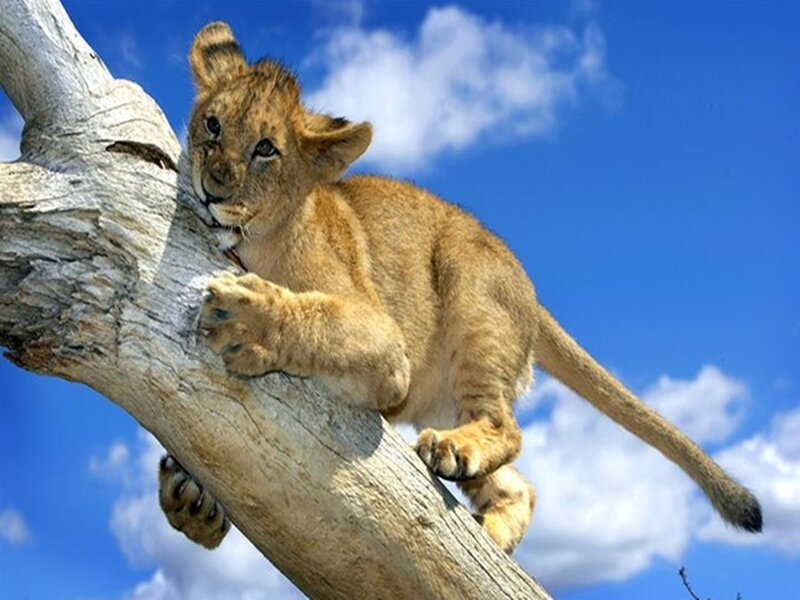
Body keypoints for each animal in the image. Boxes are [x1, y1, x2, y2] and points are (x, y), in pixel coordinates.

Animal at [158, 22, 761, 555]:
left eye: (266, 149)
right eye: (212, 125)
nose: (212, 189)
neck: (251, 243)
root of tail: (533, 295)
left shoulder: (387, 350)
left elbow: (316, 318)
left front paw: (244, 320)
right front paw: (191, 497)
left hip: (472, 301)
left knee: (505, 428)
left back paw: (455, 451)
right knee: (523, 486)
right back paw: (490, 532)